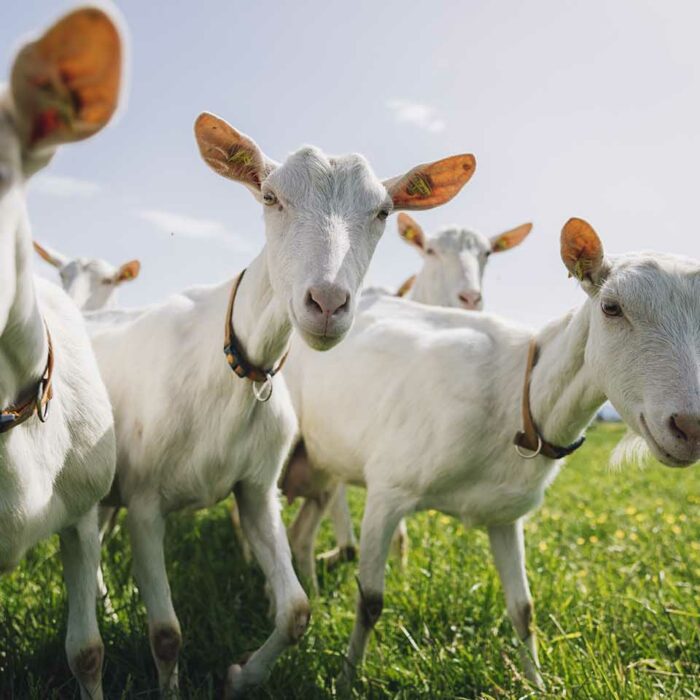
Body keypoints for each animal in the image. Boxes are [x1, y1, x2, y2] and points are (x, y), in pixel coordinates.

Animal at [85, 109, 474, 696]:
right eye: (270, 197)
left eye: (382, 211)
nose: (327, 303)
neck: (229, 367)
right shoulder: (147, 503)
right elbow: (167, 634)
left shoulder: (255, 489)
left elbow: (296, 611)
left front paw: (241, 675)